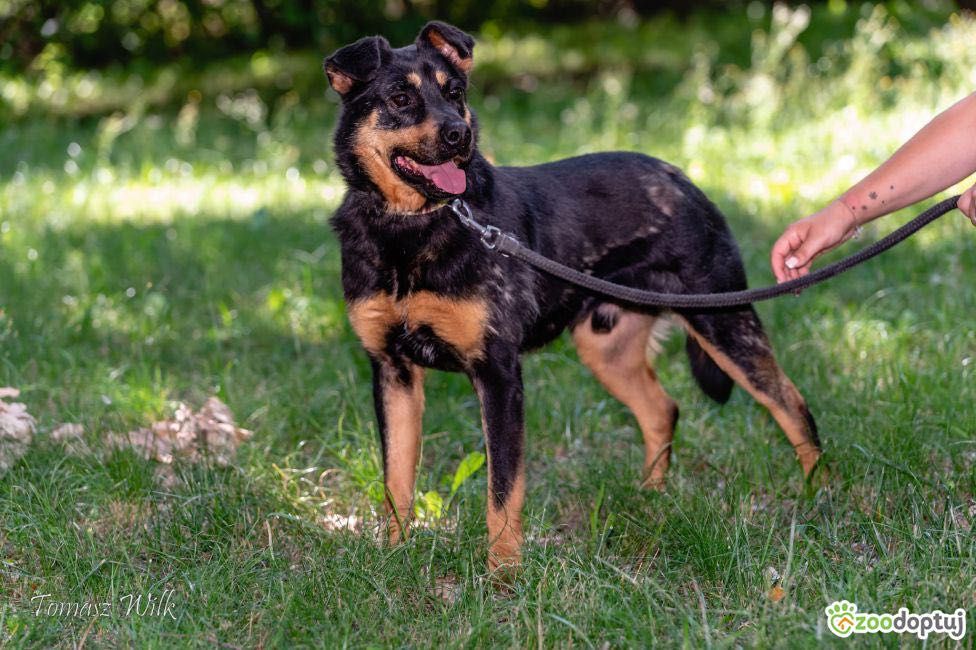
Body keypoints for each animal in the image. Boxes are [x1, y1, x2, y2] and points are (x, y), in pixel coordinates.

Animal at [328, 21, 824, 568]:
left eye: (455, 93)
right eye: (400, 98)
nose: (460, 135)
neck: (411, 230)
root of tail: (681, 178)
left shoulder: (498, 372)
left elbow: (503, 491)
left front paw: (503, 573)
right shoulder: (391, 371)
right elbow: (396, 479)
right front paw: (393, 557)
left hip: (725, 321)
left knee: (793, 405)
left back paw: (819, 497)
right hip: (606, 346)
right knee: (663, 409)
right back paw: (651, 497)